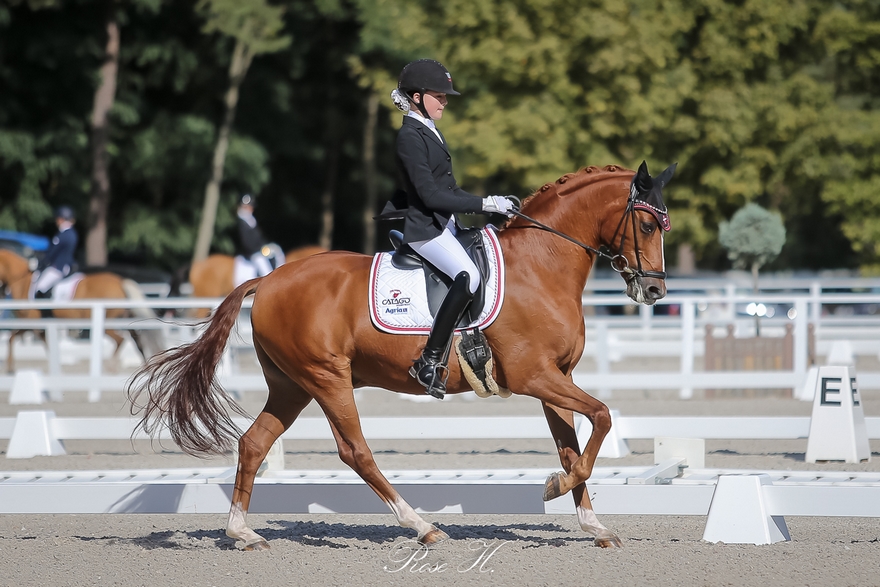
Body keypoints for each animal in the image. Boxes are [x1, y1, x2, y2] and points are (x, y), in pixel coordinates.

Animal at [127, 162, 672, 552]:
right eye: (647, 224)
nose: (654, 291)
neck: (542, 265)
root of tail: (271, 278)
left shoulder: (555, 377)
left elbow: (573, 445)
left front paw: (592, 523)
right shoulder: (532, 375)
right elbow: (601, 417)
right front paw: (555, 489)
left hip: (291, 385)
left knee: (254, 443)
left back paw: (244, 533)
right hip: (327, 378)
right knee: (355, 451)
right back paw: (422, 527)